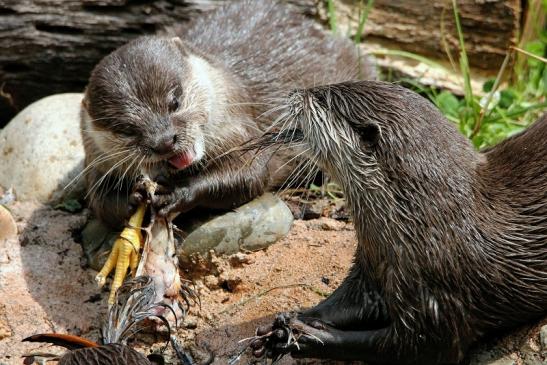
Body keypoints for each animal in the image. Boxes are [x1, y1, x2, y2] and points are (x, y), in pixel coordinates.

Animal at [79, 0, 374, 228]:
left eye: (174, 101)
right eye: (125, 130)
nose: (164, 141)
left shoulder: (242, 128)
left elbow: (252, 172)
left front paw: (178, 192)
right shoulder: (97, 159)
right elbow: (99, 202)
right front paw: (134, 195)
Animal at [249, 81, 547, 362]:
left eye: (322, 98)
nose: (294, 92)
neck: (424, 222)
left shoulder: (440, 298)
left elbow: (414, 347)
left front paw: (304, 336)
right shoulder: (369, 266)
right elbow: (347, 302)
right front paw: (289, 320)